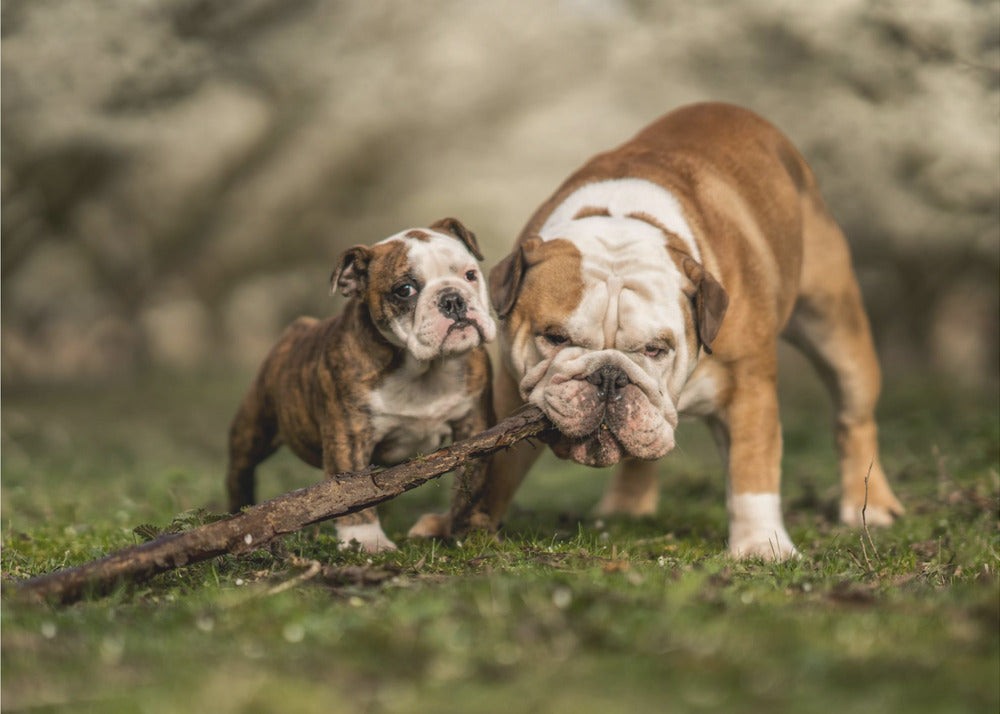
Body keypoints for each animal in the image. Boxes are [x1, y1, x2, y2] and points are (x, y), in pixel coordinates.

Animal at [225, 217, 494, 552]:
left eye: (470, 275)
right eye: (404, 290)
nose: (452, 299)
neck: (422, 369)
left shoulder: (473, 426)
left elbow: (470, 479)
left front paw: (466, 529)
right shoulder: (349, 432)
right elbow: (353, 490)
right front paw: (367, 542)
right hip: (254, 428)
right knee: (240, 470)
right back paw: (239, 517)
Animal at [414, 101, 908, 556]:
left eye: (656, 349)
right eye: (554, 338)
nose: (609, 376)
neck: (623, 223)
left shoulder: (749, 387)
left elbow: (753, 468)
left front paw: (761, 546)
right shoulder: (509, 392)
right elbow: (495, 465)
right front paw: (467, 524)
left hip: (835, 326)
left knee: (854, 418)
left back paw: (870, 506)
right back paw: (627, 504)